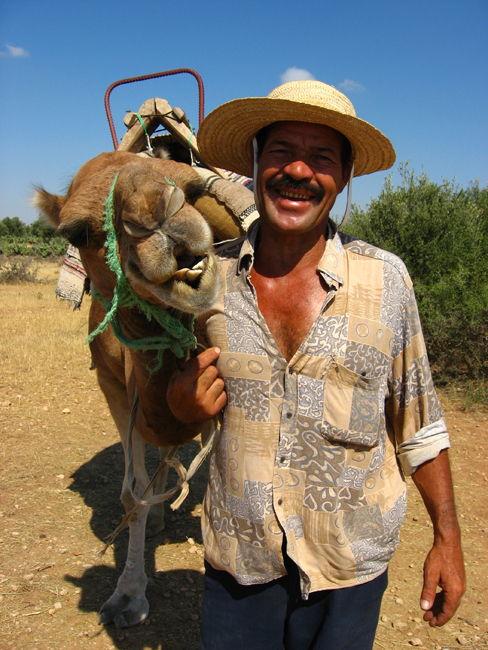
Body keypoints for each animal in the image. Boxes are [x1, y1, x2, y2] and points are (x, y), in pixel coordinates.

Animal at [34, 149, 250, 624]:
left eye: (192, 189)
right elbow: (131, 495)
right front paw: (128, 595)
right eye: (78, 230)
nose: (160, 215)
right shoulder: (113, 389)